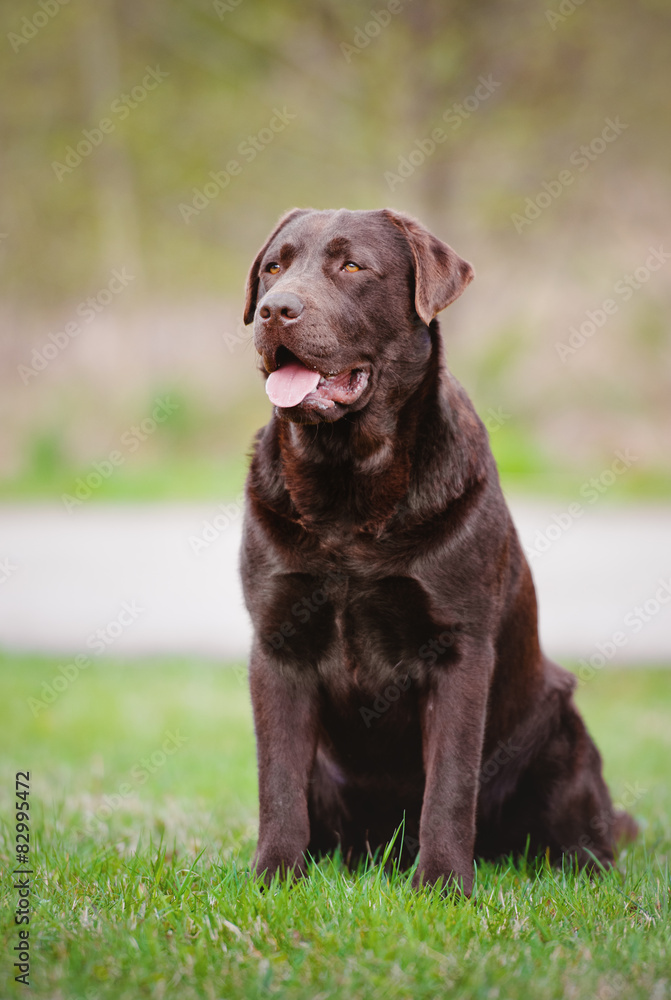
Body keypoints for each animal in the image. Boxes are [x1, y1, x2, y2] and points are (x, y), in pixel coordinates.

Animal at [239, 207, 636, 896]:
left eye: (352, 266)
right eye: (273, 267)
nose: (274, 309)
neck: (348, 491)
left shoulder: (459, 648)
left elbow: (450, 784)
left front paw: (444, 887)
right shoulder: (277, 643)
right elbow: (278, 782)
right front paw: (274, 879)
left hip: (561, 735)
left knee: (586, 842)